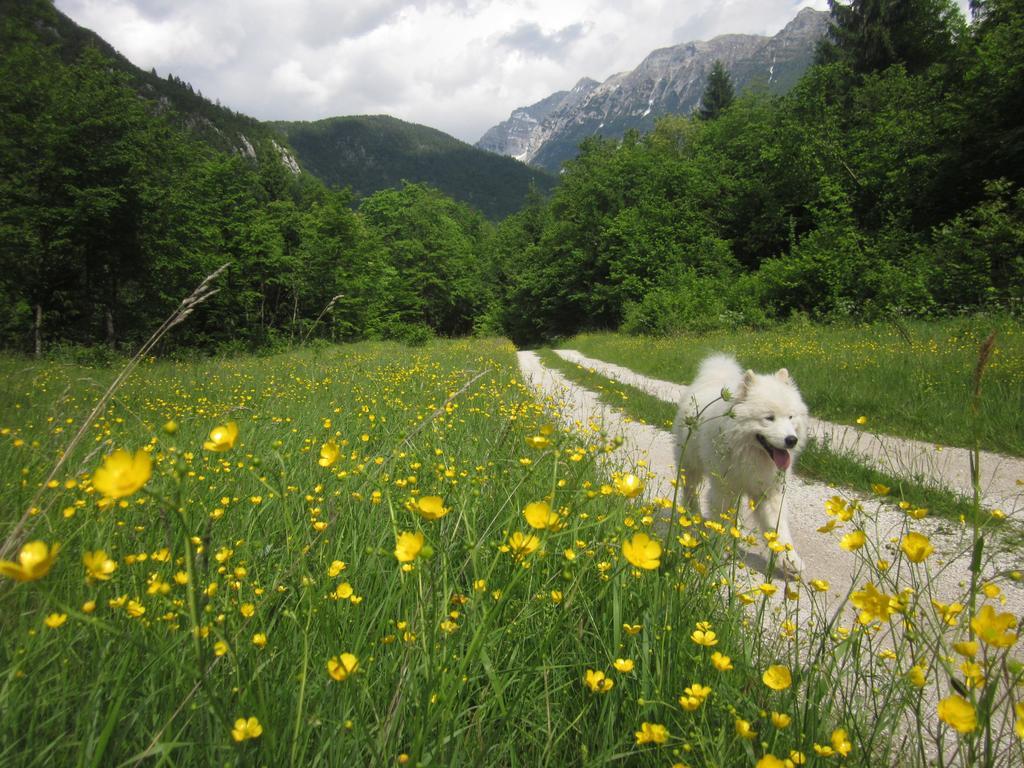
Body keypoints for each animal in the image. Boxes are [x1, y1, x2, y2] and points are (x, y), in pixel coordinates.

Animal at [671, 354, 806, 577]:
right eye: (769, 418)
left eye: (790, 417)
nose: (791, 440)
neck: (749, 453)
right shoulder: (724, 490)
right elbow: (723, 521)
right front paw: (719, 550)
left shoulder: (769, 492)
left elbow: (778, 529)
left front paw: (789, 560)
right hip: (690, 466)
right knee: (690, 492)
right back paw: (693, 518)